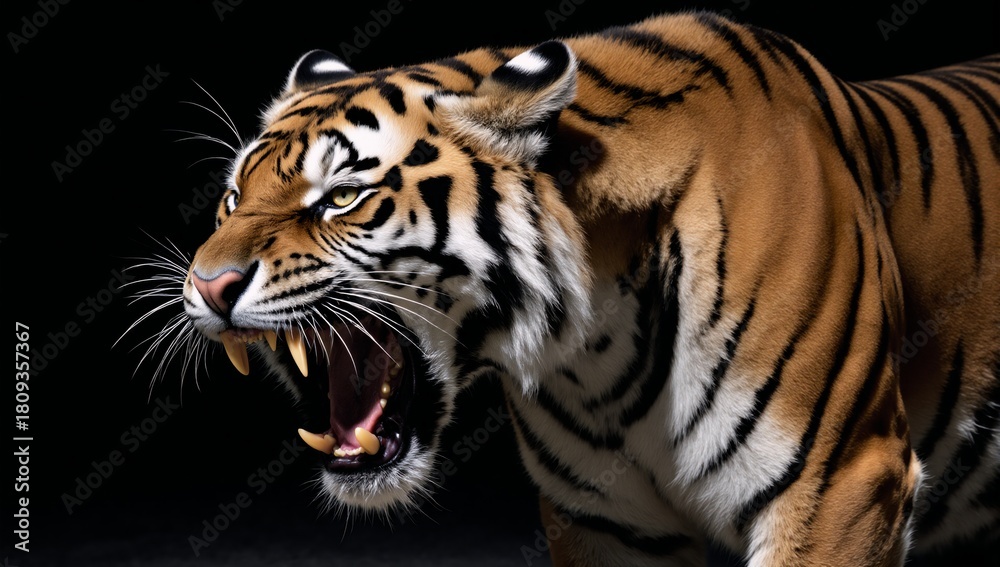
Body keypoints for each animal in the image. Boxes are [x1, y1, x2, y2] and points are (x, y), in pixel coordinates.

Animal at [159, 10, 999, 567]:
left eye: (339, 197)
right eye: (232, 198)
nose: (208, 283)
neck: (597, 345)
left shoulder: (840, 483)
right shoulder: (604, 519)